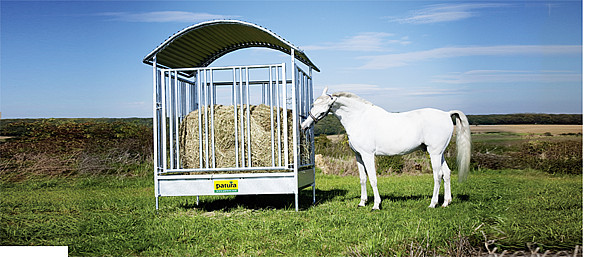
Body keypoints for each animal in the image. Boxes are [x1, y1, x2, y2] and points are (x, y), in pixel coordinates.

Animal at [302, 87, 472, 209]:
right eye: (313, 104)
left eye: (322, 106)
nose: (304, 125)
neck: (359, 119)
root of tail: (446, 114)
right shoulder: (358, 156)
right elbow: (363, 179)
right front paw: (362, 203)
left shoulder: (368, 155)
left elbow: (373, 179)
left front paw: (376, 205)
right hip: (439, 153)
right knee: (447, 174)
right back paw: (446, 202)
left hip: (434, 153)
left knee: (438, 176)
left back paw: (433, 203)